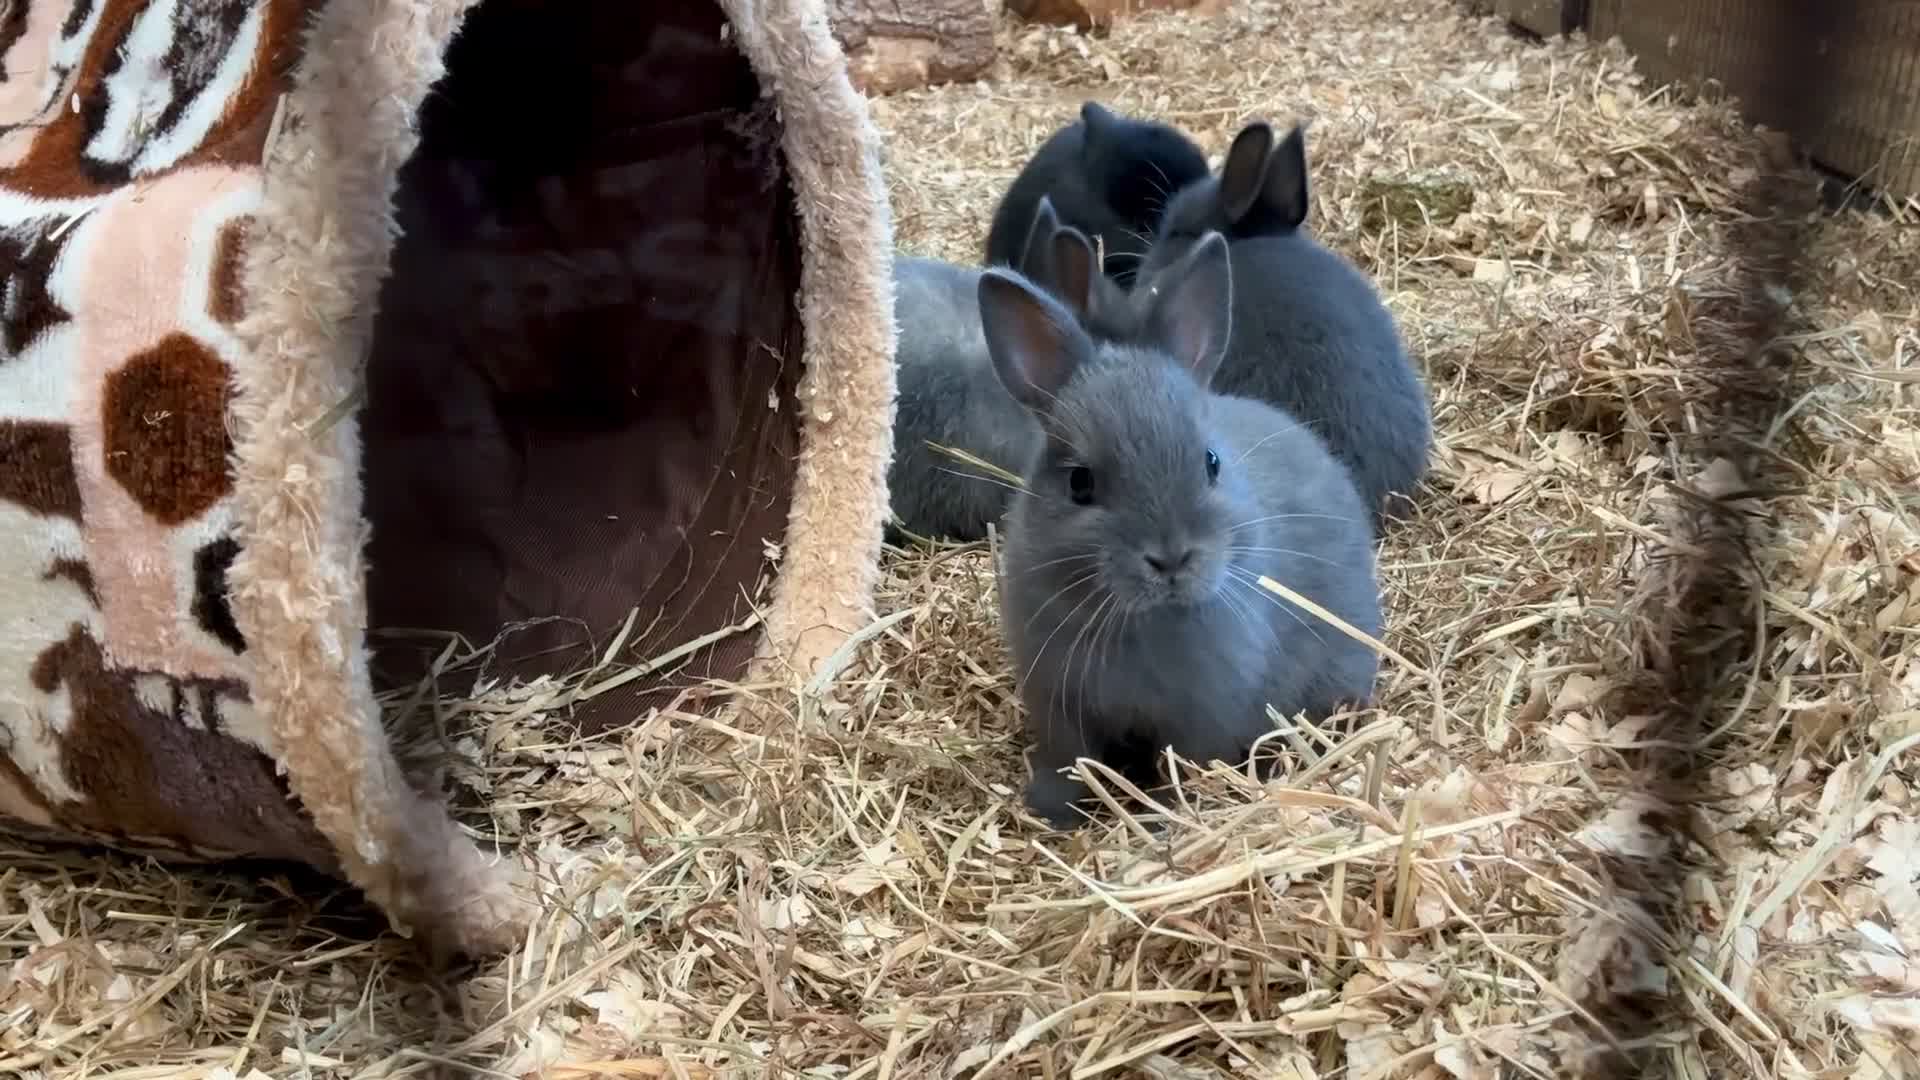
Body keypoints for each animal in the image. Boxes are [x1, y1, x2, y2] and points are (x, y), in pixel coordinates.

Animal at [980, 231, 1383, 829]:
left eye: (1210, 462)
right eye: (1080, 483)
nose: (1170, 558)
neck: (1141, 621)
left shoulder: (1202, 716)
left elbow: (1182, 767)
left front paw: (1161, 817)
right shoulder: (1057, 704)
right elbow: (1068, 764)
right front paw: (1051, 813)